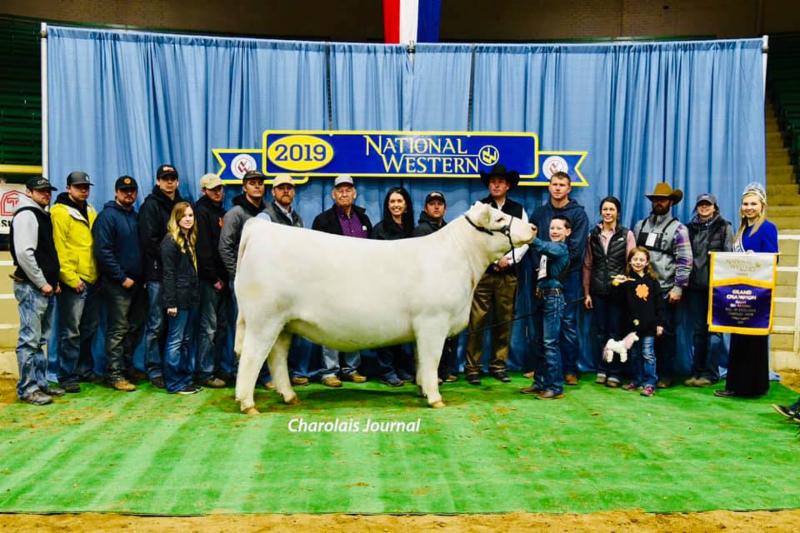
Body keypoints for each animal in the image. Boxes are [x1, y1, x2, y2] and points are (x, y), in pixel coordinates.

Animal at [233, 201, 536, 414]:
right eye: (499, 219)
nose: (533, 228)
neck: (460, 258)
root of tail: (259, 228)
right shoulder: (433, 321)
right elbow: (432, 360)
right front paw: (435, 399)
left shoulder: (423, 327)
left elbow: (421, 361)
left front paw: (423, 390)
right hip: (264, 319)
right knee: (252, 356)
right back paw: (248, 403)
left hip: (283, 323)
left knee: (277, 357)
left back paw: (289, 396)